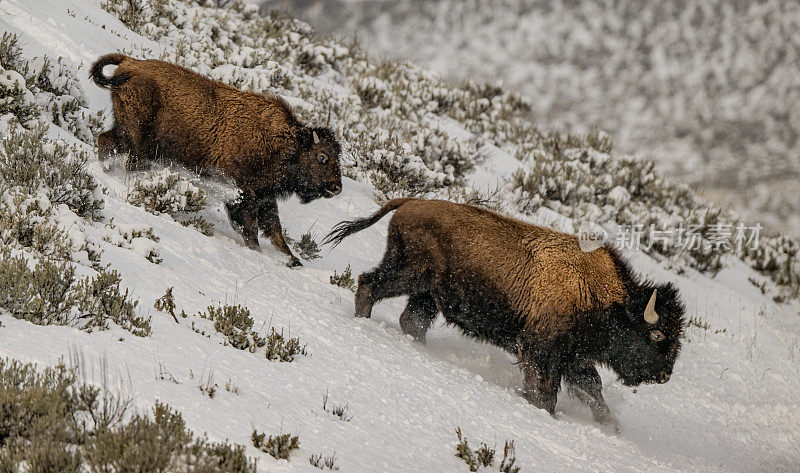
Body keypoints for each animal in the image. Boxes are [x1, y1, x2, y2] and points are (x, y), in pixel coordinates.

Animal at [90, 54, 340, 268]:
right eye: (322, 157)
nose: (336, 187)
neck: (284, 143)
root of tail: (130, 63)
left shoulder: (265, 196)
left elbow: (275, 229)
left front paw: (292, 260)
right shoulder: (243, 194)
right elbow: (251, 227)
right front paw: (258, 251)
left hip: (124, 132)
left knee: (105, 140)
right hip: (138, 141)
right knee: (128, 160)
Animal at [322, 197, 684, 430]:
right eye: (656, 335)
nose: (665, 375)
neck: (606, 297)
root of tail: (408, 203)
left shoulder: (574, 358)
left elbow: (593, 391)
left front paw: (611, 427)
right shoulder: (541, 350)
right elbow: (545, 391)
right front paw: (543, 412)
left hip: (426, 295)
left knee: (411, 319)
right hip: (409, 275)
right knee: (370, 284)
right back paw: (363, 322)